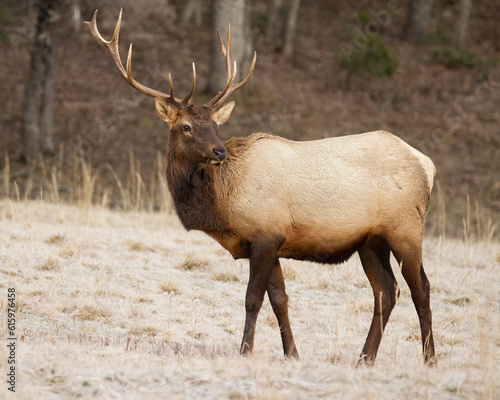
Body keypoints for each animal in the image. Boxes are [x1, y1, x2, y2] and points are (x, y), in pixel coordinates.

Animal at [87, 8, 438, 366]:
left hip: (406, 228)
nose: (219, 151)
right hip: (370, 240)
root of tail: (427, 164)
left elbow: (253, 298)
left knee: (420, 288)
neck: (222, 206)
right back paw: (364, 359)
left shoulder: (266, 234)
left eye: (215, 126)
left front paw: (245, 350)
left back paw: (430, 359)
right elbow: (280, 299)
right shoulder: (267, 241)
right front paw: (292, 354)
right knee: (386, 291)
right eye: (186, 126)